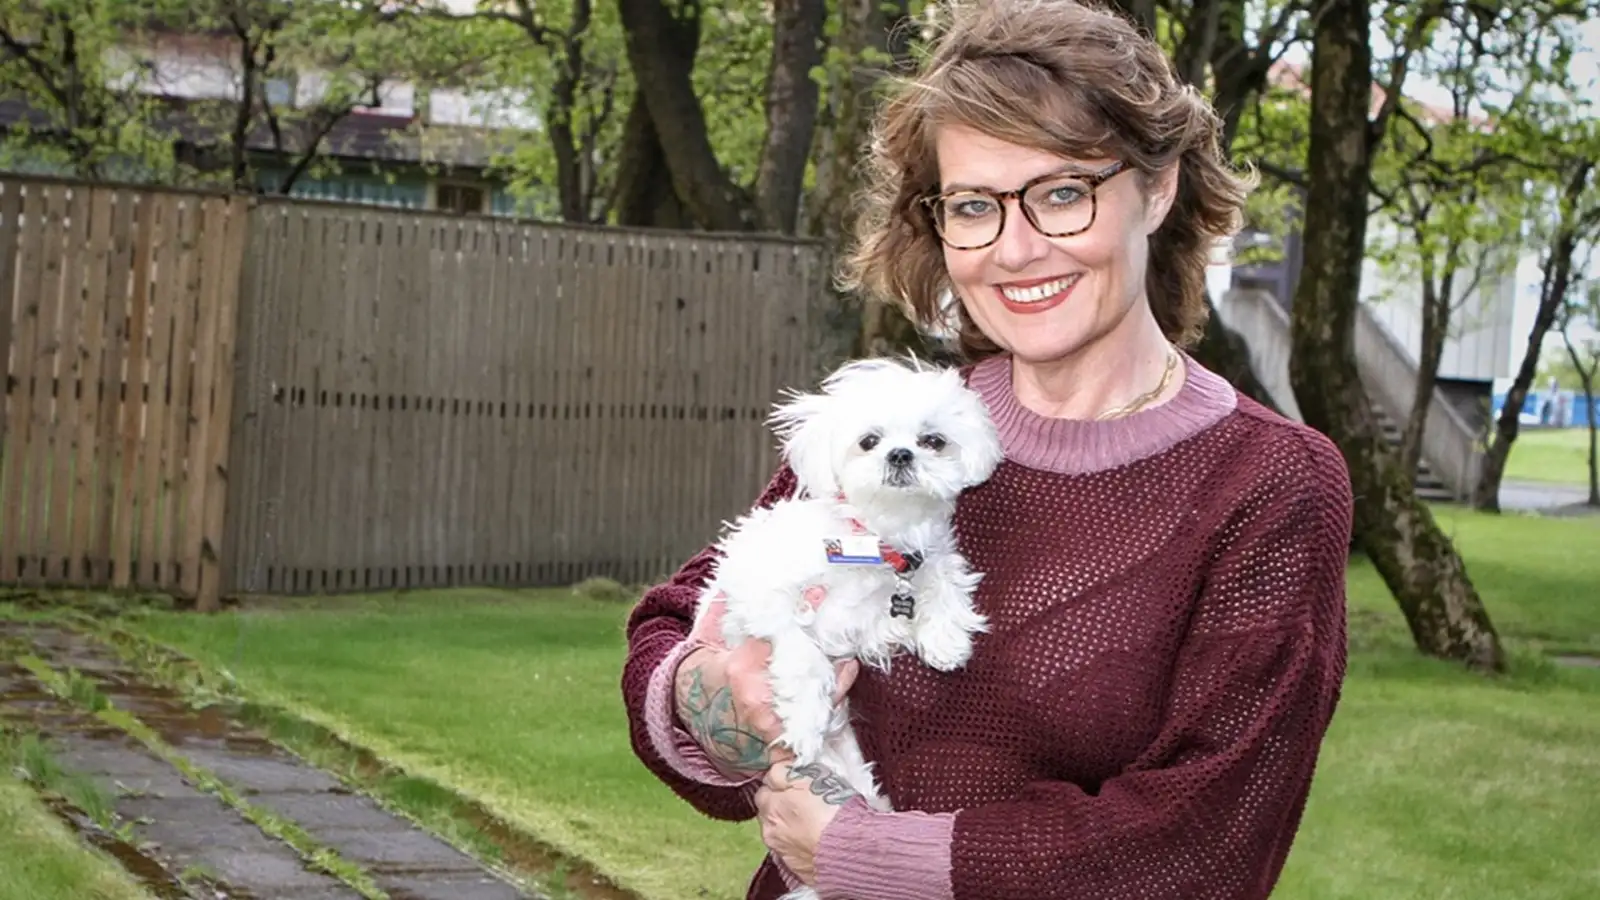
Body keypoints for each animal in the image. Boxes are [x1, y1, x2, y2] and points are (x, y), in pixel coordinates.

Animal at [692, 356, 1003, 882]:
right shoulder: (762, 591)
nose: (900, 455)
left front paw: (946, 637)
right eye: (869, 440)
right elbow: (802, 653)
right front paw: (804, 716)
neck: (878, 541)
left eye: (933, 440)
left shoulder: (897, 593)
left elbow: (943, 574)